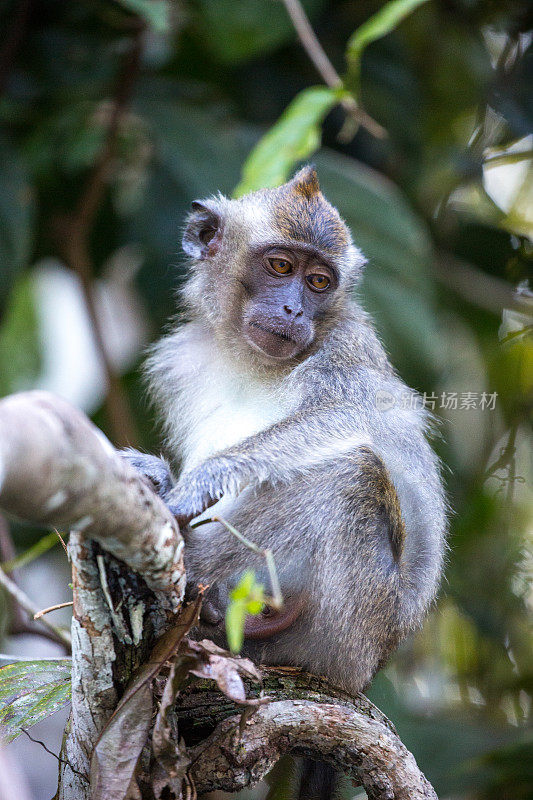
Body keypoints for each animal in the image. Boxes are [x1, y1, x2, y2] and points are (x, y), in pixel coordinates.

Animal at [123, 164, 444, 792]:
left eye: (319, 281)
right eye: (279, 267)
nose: (296, 311)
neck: (252, 360)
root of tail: (372, 666)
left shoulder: (345, 347)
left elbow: (355, 416)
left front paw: (201, 481)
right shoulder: (181, 360)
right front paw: (157, 474)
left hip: (349, 629)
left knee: (352, 477)